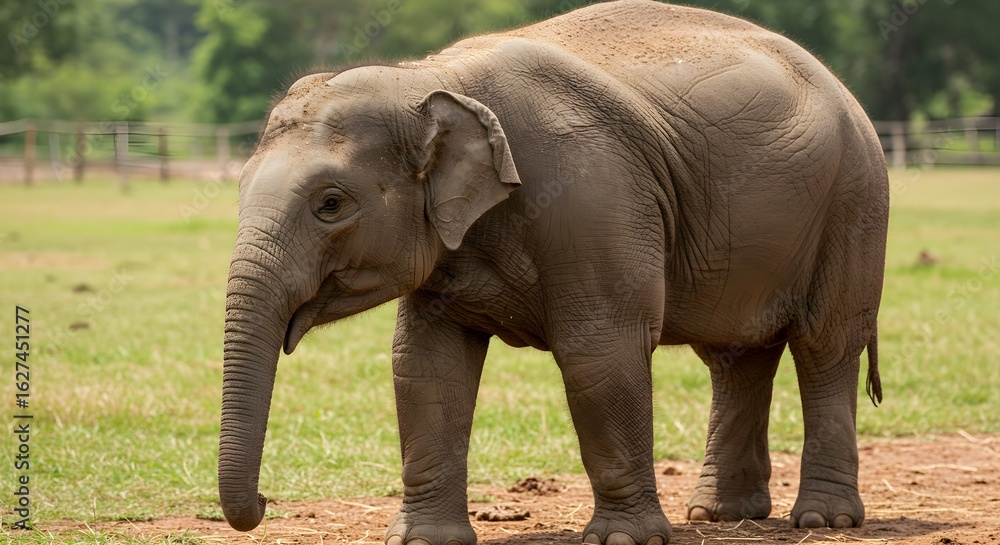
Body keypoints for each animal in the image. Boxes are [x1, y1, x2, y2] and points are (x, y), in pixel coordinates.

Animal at [218, 1, 888, 544]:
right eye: (239, 187)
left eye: (331, 204)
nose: (265, 500)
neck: (431, 78)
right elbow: (425, 366)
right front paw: (423, 541)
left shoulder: (594, 200)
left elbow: (599, 353)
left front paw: (623, 540)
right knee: (735, 356)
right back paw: (720, 516)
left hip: (854, 203)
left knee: (825, 347)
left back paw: (822, 520)